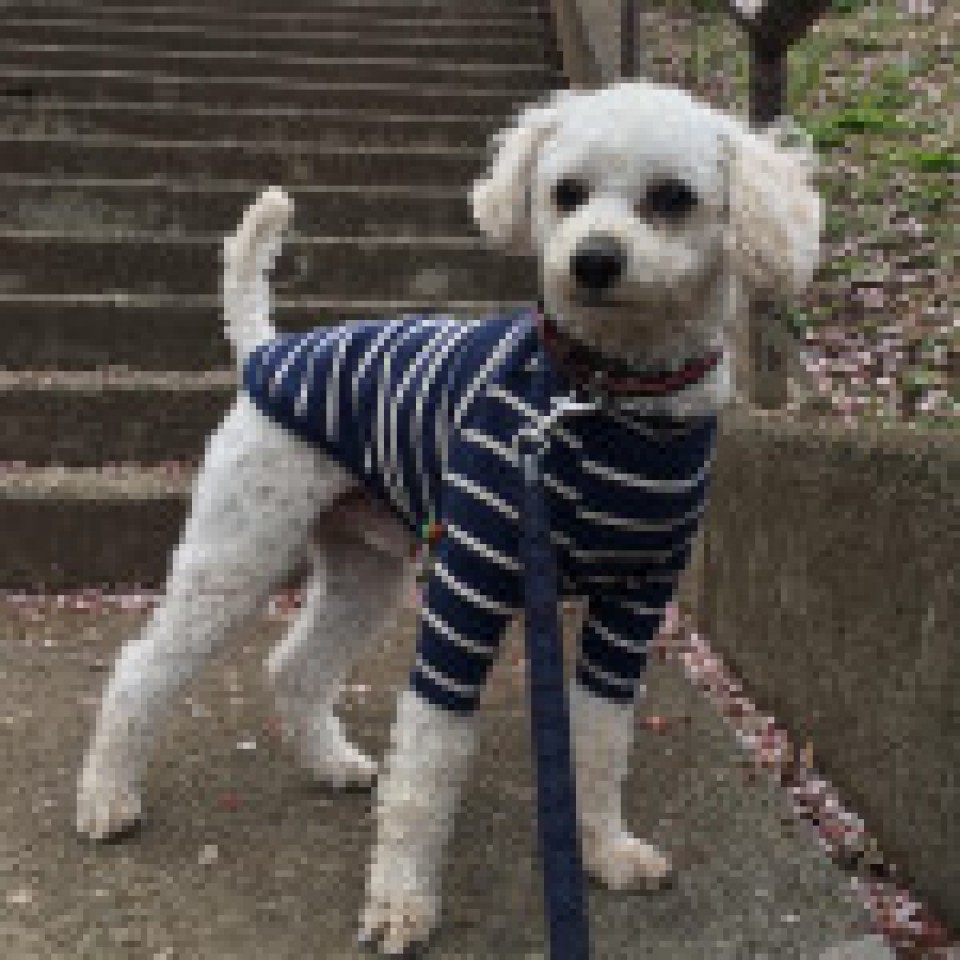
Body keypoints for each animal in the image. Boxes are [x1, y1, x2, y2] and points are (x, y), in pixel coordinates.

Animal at [76, 79, 820, 956]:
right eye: (566, 193)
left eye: (672, 198)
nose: (591, 260)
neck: (601, 396)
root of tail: (267, 351)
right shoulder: (468, 592)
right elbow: (428, 763)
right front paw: (401, 899)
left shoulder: (633, 605)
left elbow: (602, 736)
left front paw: (604, 850)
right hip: (236, 551)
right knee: (141, 668)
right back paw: (106, 796)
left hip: (364, 572)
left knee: (295, 667)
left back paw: (331, 763)